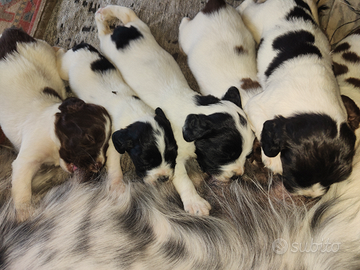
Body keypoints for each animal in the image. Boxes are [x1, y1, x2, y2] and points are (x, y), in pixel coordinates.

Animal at [0, 28, 112, 221]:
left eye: (106, 146)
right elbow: (22, 188)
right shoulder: (26, 161)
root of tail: (11, 31)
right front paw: (25, 214)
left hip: (41, 48)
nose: (98, 166)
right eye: (89, 138)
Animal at [56, 42, 179, 190]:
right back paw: (57, 49)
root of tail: (82, 45)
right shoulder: (112, 144)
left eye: (173, 155)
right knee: (60, 59)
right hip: (64, 69)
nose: (163, 178)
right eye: (145, 161)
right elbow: (114, 165)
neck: (138, 114)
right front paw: (117, 185)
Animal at [94, 5, 255, 216]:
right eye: (226, 155)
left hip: (141, 27)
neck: (195, 109)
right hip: (106, 46)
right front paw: (195, 202)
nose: (237, 175)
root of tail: (122, 30)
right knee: (103, 33)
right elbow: (183, 179)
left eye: (248, 155)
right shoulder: (174, 157)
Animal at [238, 0, 356, 198]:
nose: (309, 196)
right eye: (294, 172)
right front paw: (274, 160)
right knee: (246, 7)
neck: (313, 107)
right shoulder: (256, 104)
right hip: (254, 16)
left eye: (332, 180)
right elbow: (262, 127)